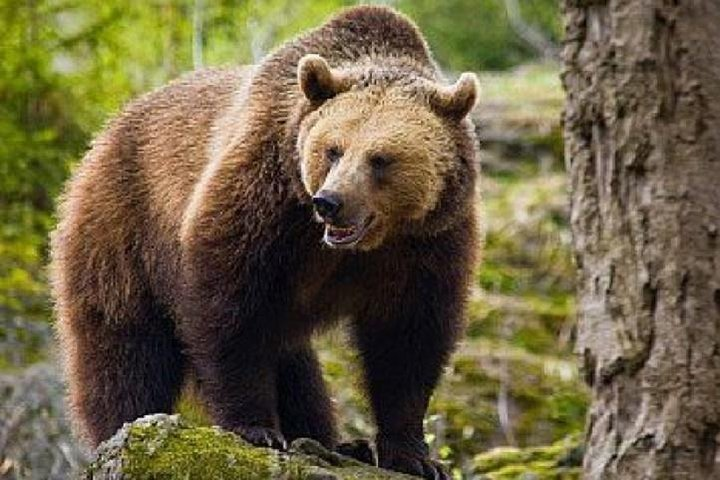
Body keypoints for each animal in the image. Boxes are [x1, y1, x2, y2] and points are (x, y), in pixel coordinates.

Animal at [50, 5, 478, 478]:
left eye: (381, 158)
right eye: (332, 149)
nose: (330, 202)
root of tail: (105, 132)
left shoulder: (426, 242)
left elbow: (408, 336)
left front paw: (413, 454)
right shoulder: (265, 199)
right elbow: (228, 308)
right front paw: (256, 428)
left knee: (297, 370)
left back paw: (338, 443)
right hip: (122, 225)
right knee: (125, 347)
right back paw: (123, 426)